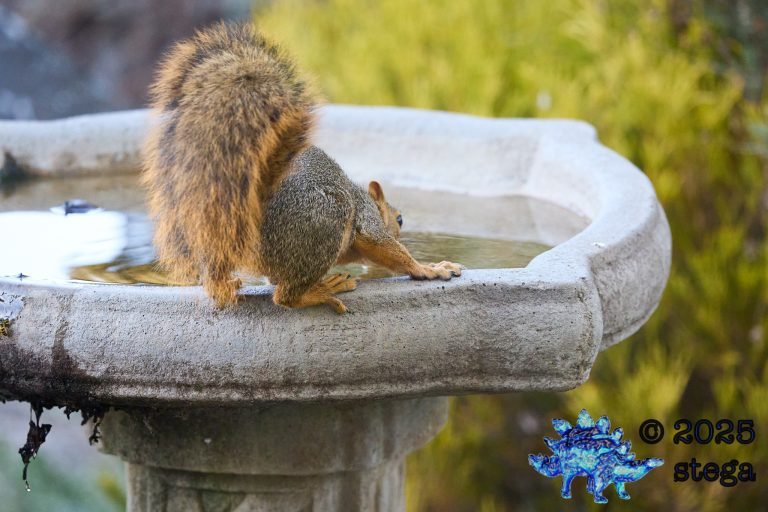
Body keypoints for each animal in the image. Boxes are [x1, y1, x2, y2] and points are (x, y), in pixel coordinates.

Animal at [142, 22, 462, 313]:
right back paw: (321, 291)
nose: (400, 232)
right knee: (284, 297)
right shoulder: (368, 222)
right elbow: (386, 248)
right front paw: (429, 267)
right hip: (324, 220)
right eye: (400, 220)